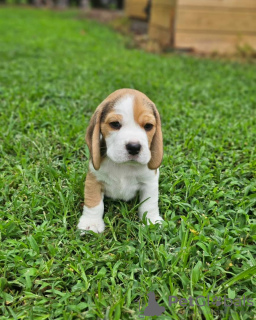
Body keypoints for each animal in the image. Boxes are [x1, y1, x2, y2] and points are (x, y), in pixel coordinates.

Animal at [77, 89, 163, 234]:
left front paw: (151, 221)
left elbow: (149, 204)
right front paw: (91, 223)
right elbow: (93, 202)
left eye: (148, 126)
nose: (134, 147)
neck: (124, 166)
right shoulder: (93, 179)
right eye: (115, 124)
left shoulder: (149, 182)